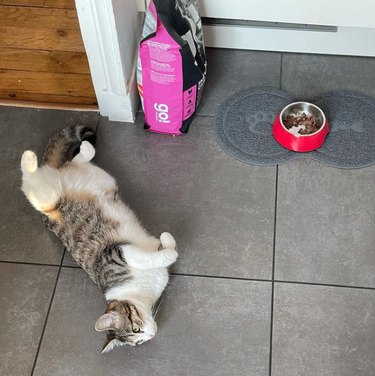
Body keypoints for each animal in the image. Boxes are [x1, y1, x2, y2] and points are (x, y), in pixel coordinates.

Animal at [20, 126, 179, 352]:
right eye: (137, 337)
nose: (151, 335)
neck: (143, 292)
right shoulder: (114, 253)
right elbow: (152, 256)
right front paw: (169, 251)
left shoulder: (117, 253)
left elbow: (156, 249)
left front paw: (166, 242)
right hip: (58, 193)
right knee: (32, 181)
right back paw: (34, 158)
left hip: (97, 181)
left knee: (63, 166)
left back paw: (69, 151)